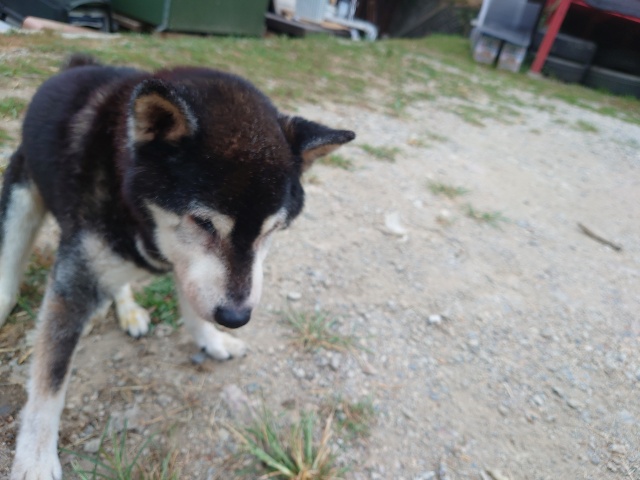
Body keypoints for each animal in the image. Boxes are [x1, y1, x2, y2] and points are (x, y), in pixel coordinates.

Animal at [1, 54, 354, 479]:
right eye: (203, 222)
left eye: (272, 230)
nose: (236, 317)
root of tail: (78, 63)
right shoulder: (77, 282)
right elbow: (50, 377)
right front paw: (36, 457)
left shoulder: (191, 269)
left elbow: (195, 304)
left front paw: (212, 339)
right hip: (23, 192)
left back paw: (128, 308)